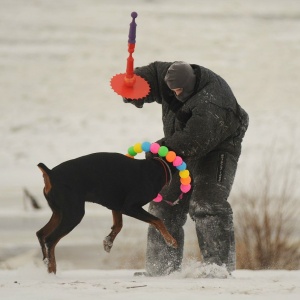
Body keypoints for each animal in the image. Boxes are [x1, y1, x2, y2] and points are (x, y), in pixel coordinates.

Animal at [36, 154, 177, 274]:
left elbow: (118, 225)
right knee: (50, 240)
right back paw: (52, 269)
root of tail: (50, 173)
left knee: (41, 233)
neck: (155, 169)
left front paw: (108, 242)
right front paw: (171, 241)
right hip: (73, 214)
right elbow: (158, 220)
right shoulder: (130, 207)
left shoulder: (116, 206)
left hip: (60, 212)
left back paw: (46, 263)